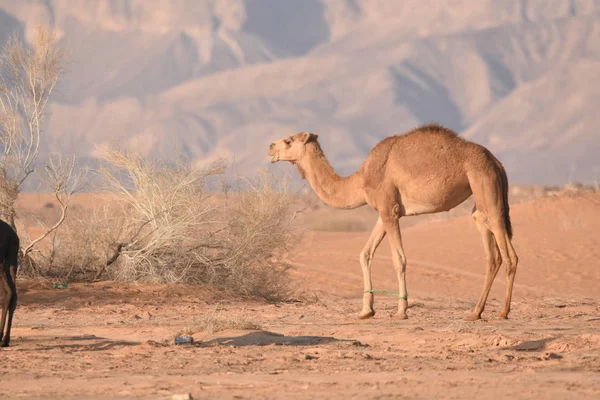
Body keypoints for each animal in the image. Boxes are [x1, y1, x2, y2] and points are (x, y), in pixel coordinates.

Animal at [270, 123, 516, 320]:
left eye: (289, 140)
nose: (270, 148)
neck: (360, 180)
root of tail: (497, 163)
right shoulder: (385, 211)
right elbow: (365, 253)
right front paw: (366, 311)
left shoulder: (389, 210)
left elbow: (399, 259)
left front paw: (401, 311)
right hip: (481, 194)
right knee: (491, 252)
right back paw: (477, 312)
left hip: (485, 185)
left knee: (507, 253)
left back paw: (502, 312)